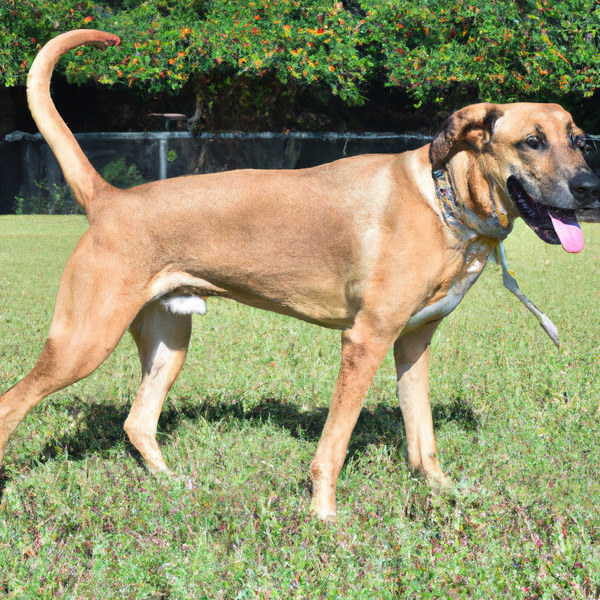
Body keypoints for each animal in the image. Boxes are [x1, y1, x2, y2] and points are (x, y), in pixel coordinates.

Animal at [1, 30, 600, 524]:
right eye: (531, 141)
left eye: (578, 139)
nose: (590, 187)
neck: (444, 201)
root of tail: (109, 199)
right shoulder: (365, 341)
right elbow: (334, 444)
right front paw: (324, 517)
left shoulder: (412, 345)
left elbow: (422, 439)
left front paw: (445, 492)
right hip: (82, 341)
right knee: (14, 404)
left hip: (169, 341)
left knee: (138, 422)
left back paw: (179, 485)